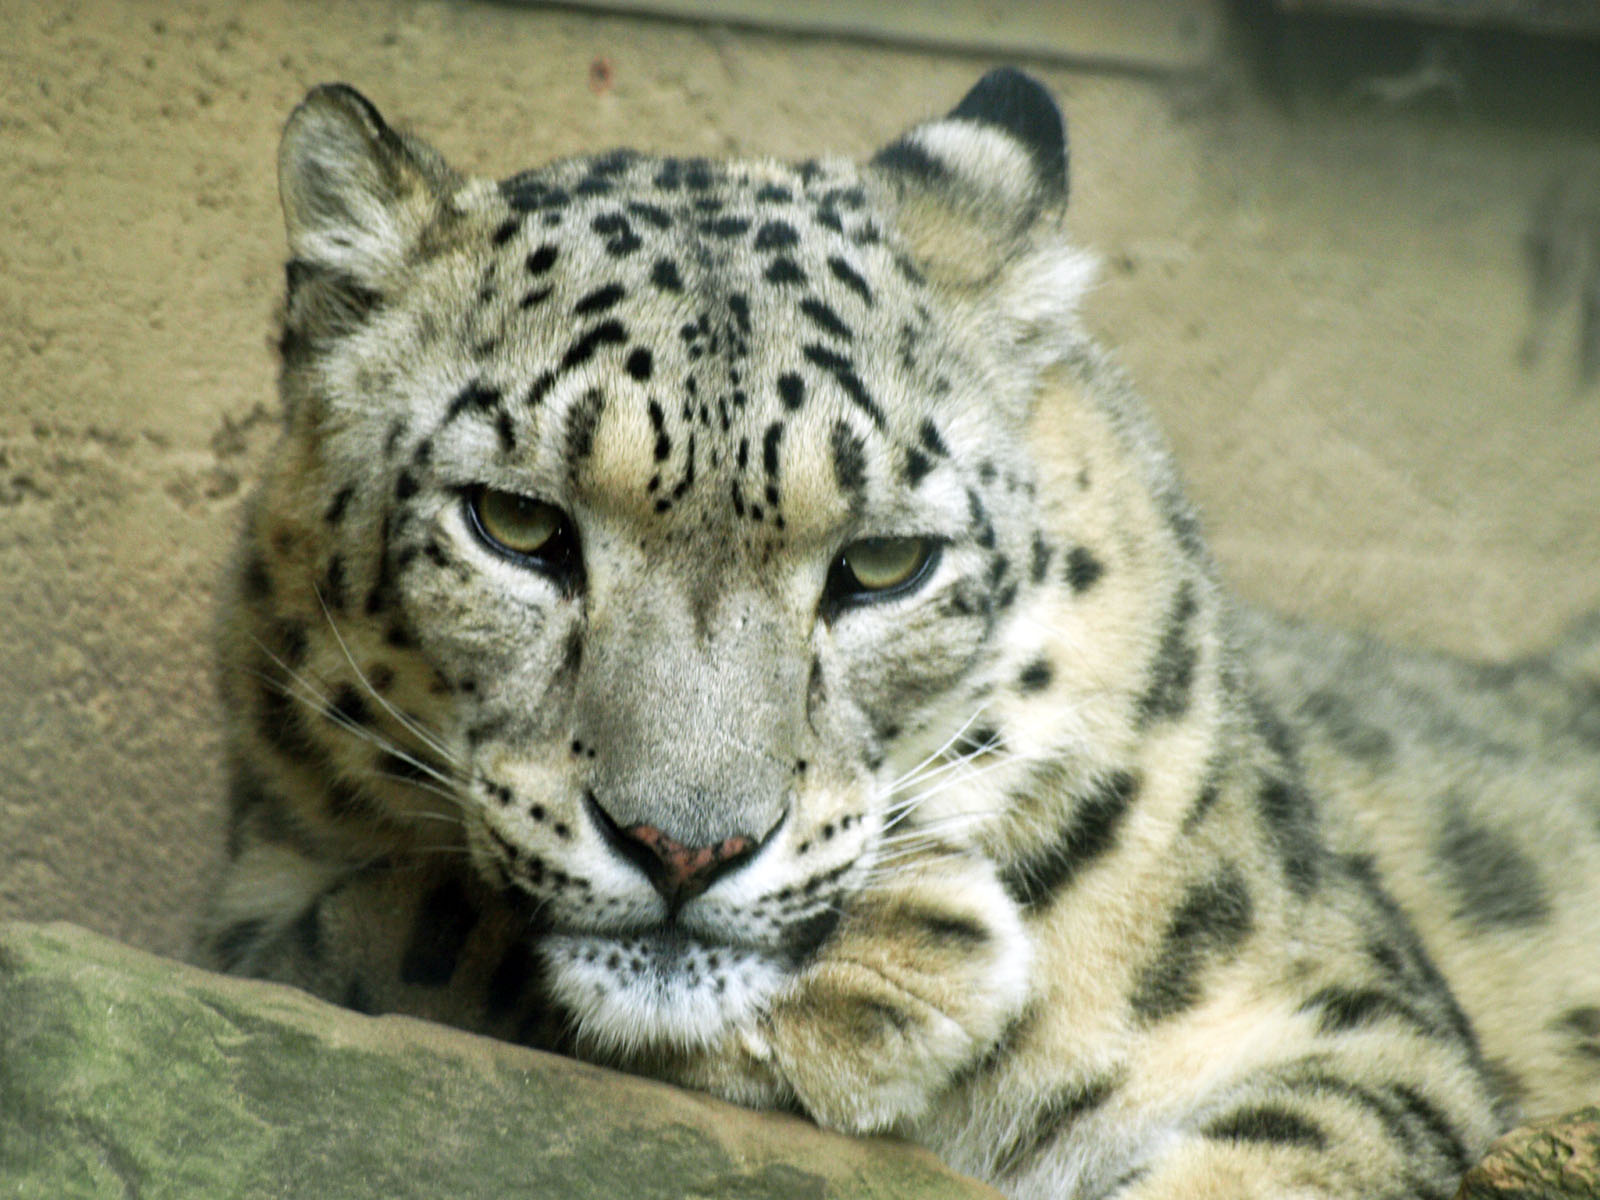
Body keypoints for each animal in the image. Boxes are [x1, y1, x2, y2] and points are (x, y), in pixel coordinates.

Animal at [199, 69, 1600, 1199]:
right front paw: (908, 958)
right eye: (516, 523)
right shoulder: (249, 908)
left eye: (883, 564)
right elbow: (385, 928)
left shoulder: (1339, 1031)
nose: (685, 850)